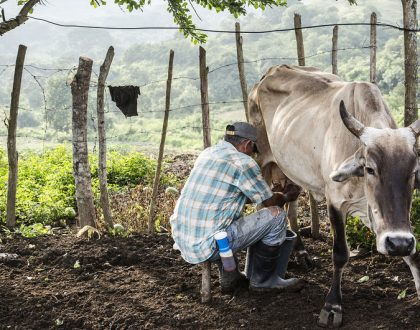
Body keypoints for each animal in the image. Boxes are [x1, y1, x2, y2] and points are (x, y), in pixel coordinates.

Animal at [248, 64, 418, 328]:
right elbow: (340, 253)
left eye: (413, 171)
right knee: (263, 206)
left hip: (291, 170)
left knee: (291, 206)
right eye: (370, 168)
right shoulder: (336, 202)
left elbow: (414, 256)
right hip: (261, 162)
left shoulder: (379, 217)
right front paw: (332, 306)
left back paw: (301, 252)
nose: (398, 243)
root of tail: (272, 71)